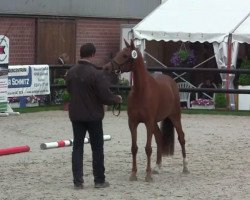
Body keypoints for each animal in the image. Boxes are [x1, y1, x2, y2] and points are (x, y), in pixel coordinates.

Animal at [104, 39, 188, 181]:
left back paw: (185, 167)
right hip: (155, 122)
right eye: (118, 53)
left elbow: (148, 148)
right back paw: (158, 167)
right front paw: (133, 174)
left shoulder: (148, 122)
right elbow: (134, 148)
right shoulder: (133, 123)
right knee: (159, 137)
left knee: (181, 137)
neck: (141, 91)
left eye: (125, 55)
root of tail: (171, 81)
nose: (107, 67)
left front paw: (148, 175)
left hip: (175, 116)